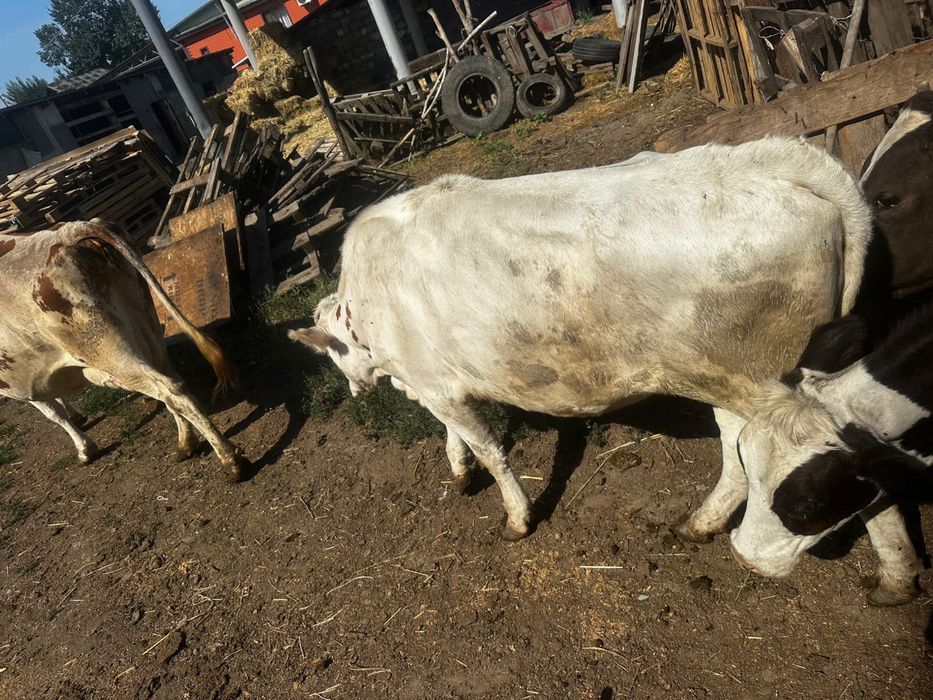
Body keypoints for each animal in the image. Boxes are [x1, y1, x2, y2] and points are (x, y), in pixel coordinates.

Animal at [0, 221, 249, 481]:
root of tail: (69, 230)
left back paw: (230, 460)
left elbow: (54, 414)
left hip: (108, 352)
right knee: (170, 381)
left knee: (170, 390)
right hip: (146, 325)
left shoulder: (20, 381)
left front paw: (85, 450)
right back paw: (186, 444)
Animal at [289, 136, 872, 543]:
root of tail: (775, 163)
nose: (355, 391)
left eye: (333, 357)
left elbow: (490, 450)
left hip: (749, 377)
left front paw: (517, 516)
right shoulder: (436, 382)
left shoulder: (437, 383)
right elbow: (453, 435)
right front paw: (458, 468)